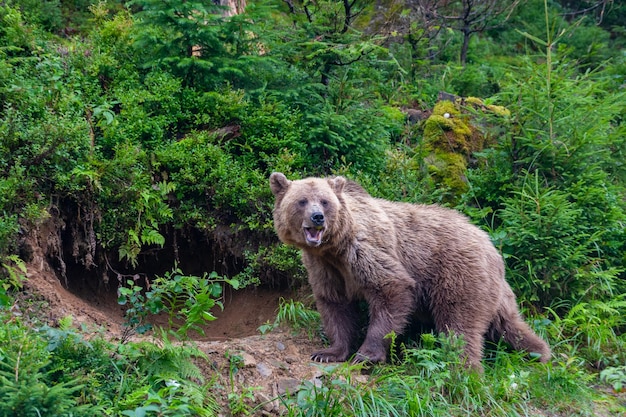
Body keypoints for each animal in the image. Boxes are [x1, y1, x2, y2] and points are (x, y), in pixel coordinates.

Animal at [268, 171, 544, 368]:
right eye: (302, 201)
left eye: (325, 202)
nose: (317, 217)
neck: (334, 247)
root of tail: (490, 245)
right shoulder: (325, 267)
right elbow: (335, 305)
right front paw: (328, 352)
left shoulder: (364, 252)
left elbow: (391, 290)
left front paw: (366, 355)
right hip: (493, 291)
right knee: (509, 324)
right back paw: (539, 353)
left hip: (457, 275)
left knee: (459, 324)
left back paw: (463, 367)